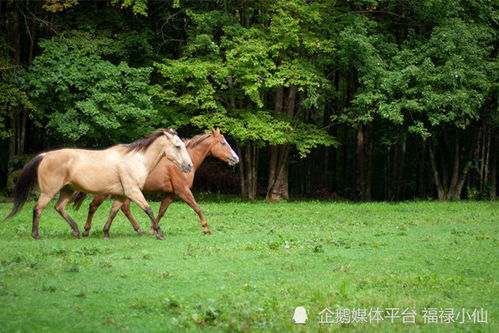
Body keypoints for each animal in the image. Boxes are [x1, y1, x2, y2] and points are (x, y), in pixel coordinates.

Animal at [5, 127, 193, 239]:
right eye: (178, 146)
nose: (189, 166)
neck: (136, 160)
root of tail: (45, 155)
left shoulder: (121, 194)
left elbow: (113, 212)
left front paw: (106, 232)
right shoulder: (132, 192)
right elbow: (148, 209)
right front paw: (159, 233)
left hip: (67, 191)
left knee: (59, 208)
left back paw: (76, 231)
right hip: (49, 192)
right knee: (38, 209)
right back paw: (36, 235)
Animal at [76, 127, 240, 233]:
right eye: (223, 143)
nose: (235, 158)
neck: (180, 163)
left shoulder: (171, 194)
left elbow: (161, 211)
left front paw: (152, 230)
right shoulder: (182, 191)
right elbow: (197, 207)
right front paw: (206, 228)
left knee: (123, 208)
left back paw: (138, 230)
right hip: (106, 192)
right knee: (93, 206)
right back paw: (86, 230)